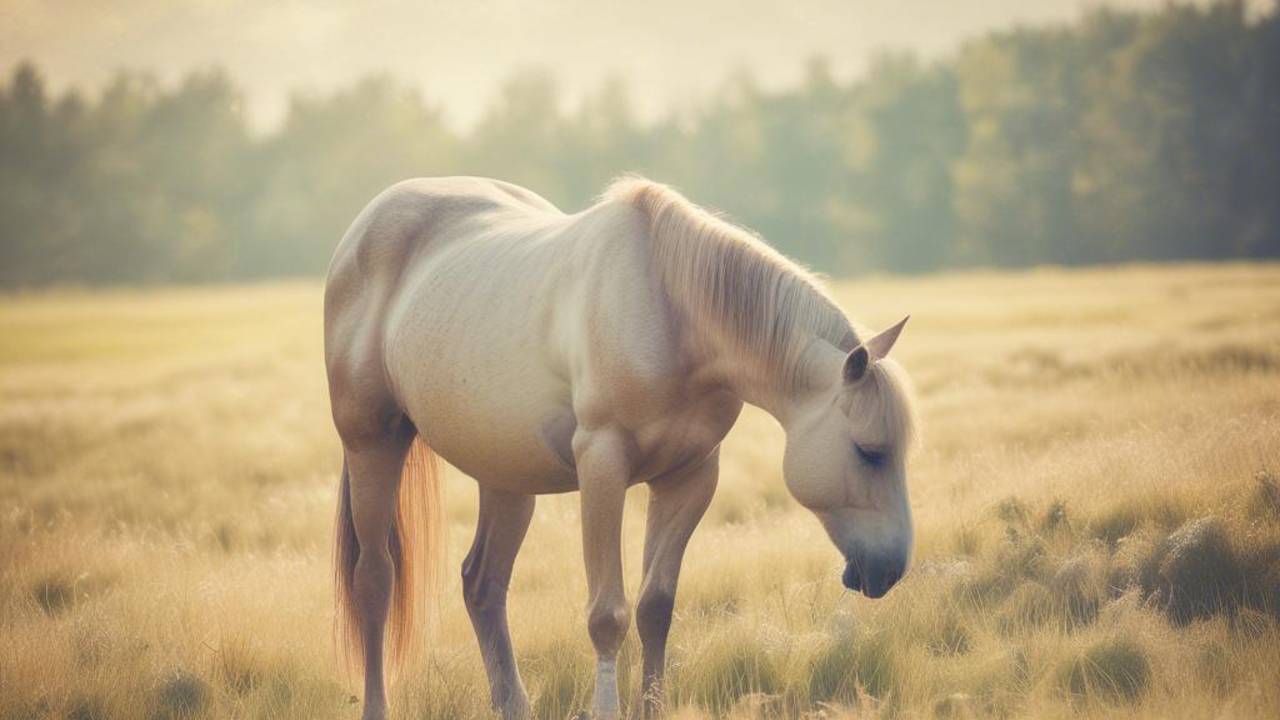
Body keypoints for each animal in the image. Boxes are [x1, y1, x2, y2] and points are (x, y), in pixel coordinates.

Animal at [325, 175, 916, 717]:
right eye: (868, 451)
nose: (891, 570)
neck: (671, 313)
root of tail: (364, 228)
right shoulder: (602, 468)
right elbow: (607, 615)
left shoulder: (690, 477)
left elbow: (656, 607)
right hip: (372, 444)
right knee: (374, 581)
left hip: (507, 475)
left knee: (483, 584)